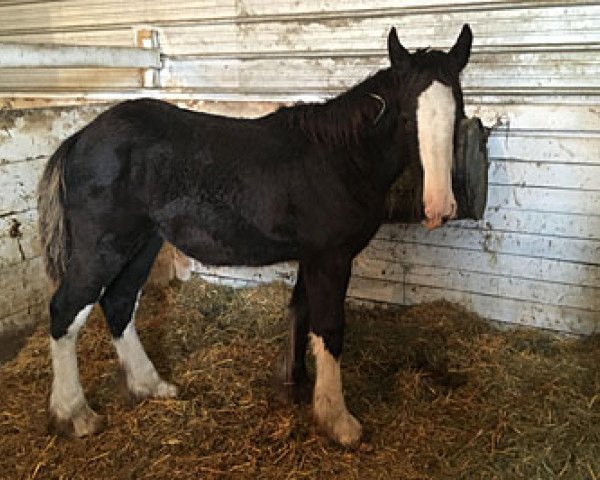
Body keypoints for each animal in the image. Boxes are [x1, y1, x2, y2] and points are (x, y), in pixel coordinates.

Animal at [37, 25, 474, 446]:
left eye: (459, 114)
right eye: (405, 118)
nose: (439, 208)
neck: (339, 159)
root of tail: (80, 139)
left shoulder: (312, 257)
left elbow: (302, 312)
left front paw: (296, 384)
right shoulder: (331, 258)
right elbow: (329, 328)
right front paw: (338, 421)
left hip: (142, 243)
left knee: (120, 302)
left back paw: (151, 386)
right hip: (103, 248)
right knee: (66, 310)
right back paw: (74, 414)